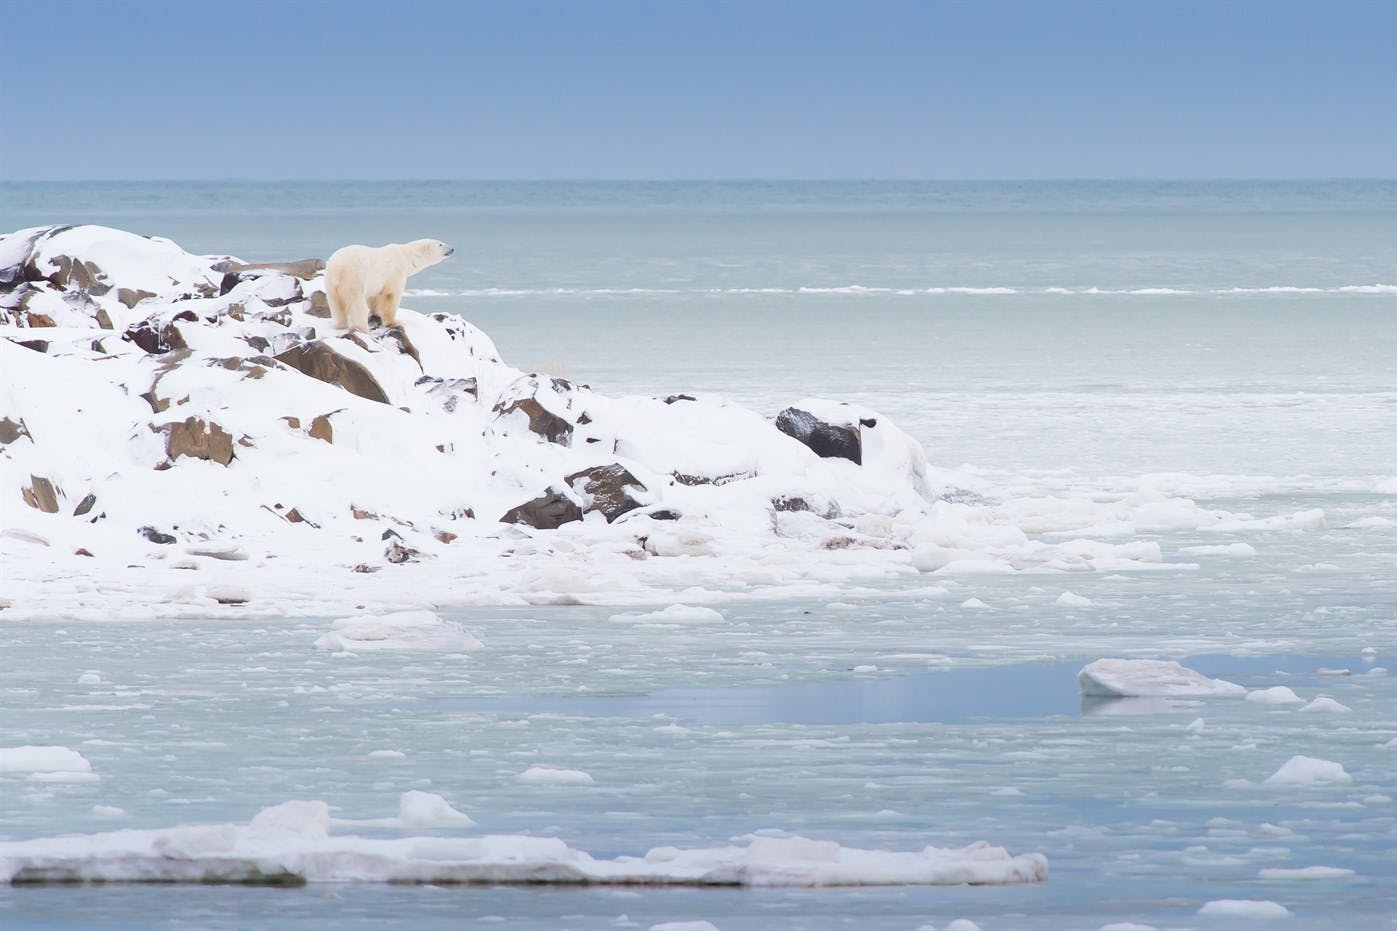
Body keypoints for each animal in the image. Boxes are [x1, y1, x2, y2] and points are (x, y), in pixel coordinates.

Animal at [324, 239, 454, 333]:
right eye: (440, 244)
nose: (452, 249)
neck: (405, 256)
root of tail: (338, 267)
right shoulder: (395, 272)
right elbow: (390, 295)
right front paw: (394, 322)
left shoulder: (376, 283)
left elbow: (373, 297)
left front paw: (375, 313)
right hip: (354, 277)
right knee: (357, 303)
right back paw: (363, 328)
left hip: (331, 283)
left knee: (336, 304)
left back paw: (340, 325)